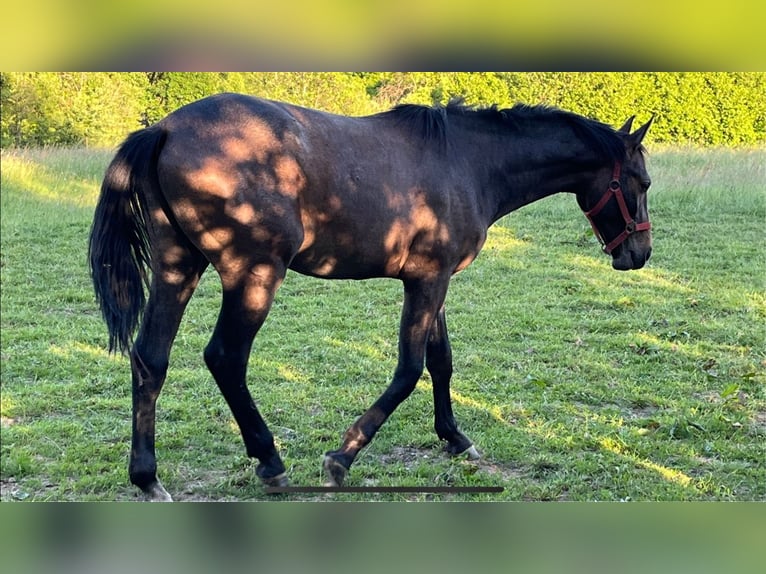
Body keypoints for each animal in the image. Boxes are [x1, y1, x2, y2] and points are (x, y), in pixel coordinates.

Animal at [90, 93, 656, 500]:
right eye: (641, 181)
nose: (639, 253)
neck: (468, 161)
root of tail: (165, 129)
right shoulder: (427, 281)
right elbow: (409, 369)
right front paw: (343, 456)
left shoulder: (435, 281)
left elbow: (441, 362)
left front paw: (454, 437)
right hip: (253, 276)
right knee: (225, 358)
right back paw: (270, 462)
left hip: (177, 267)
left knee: (150, 359)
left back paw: (147, 476)